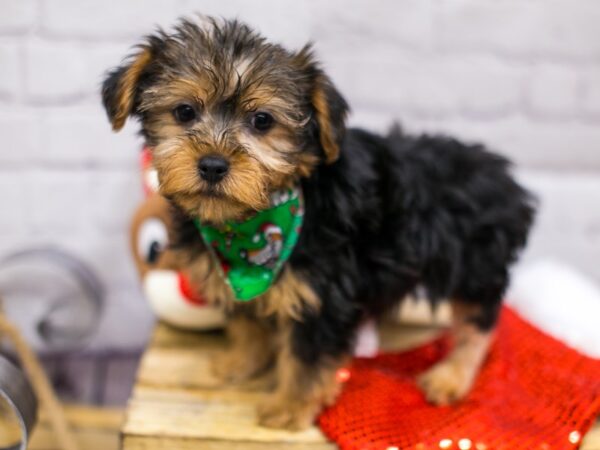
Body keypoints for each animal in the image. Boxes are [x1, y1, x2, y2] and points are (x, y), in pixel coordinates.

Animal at [102, 16, 536, 432]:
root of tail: (509, 182)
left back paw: (451, 376)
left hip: (474, 262)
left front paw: (290, 407)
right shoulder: (241, 279)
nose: (212, 165)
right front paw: (241, 362)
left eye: (262, 121)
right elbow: (248, 322)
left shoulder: (322, 293)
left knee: (479, 322)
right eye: (184, 112)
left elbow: (306, 356)